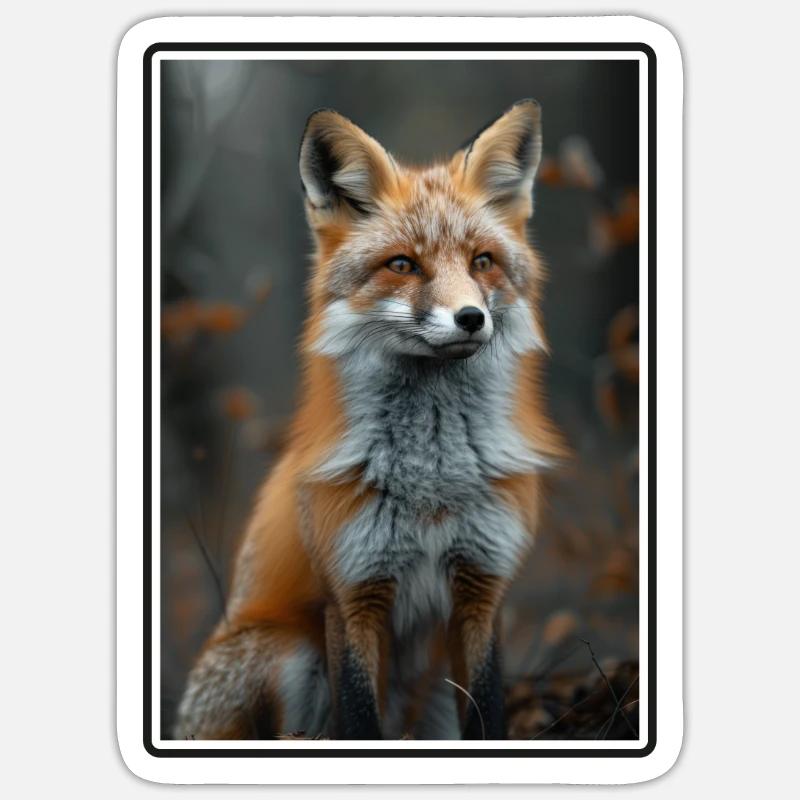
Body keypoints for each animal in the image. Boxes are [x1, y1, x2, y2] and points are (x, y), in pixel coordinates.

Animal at [174, 99, 563, 741]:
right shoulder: (353, 592)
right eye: (402, 264)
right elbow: (358, 717)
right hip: (288, 652)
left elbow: (488, 712)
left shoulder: (482, 587)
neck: (433, 481)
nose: (471, 318)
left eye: (481, 261)